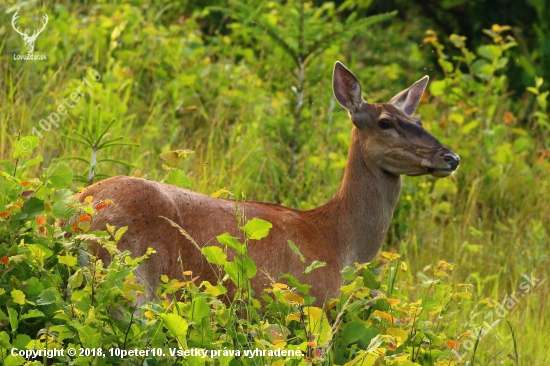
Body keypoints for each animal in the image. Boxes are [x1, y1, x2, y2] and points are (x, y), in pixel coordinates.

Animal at [76, 62, 462, 304]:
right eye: (385, 122)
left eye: (418, 119)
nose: (451, 157)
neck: (338, 242)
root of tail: (76, 212)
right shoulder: (304, 303)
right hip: (133, 279)